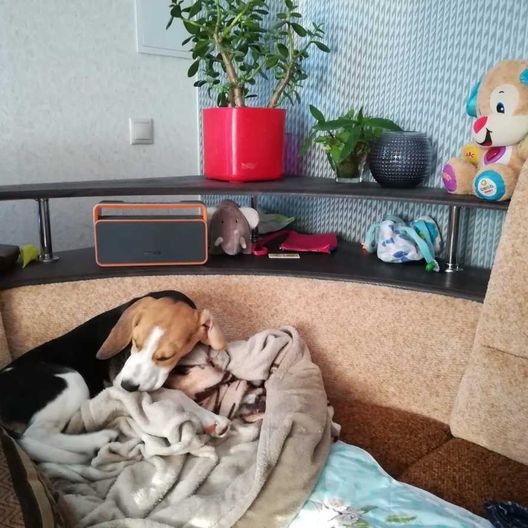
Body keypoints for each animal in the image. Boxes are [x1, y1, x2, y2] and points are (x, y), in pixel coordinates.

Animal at [0, 290, 229, 464]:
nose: (127, 386)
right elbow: (176, 395)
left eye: (166, 357)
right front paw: (212, 419)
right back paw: (100, 438)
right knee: (38, 434)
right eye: (134, 342)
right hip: (71, 379)